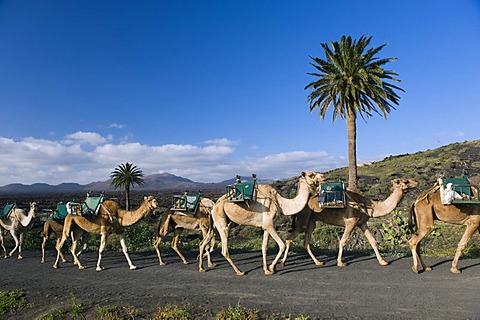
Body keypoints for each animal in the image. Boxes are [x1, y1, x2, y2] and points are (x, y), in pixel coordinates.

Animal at [280, 179, 418, 266]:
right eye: (405, 181)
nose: (416, 182)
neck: (368, 206)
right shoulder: (351, 222)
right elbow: (343, 241)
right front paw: (340, 262)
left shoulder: (362, 223)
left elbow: (373, 241)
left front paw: (383, 261)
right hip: (303, 219)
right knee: (289, 238)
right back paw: (283, 262)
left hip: (311, 221)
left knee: (306, 242)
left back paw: (318, 262)